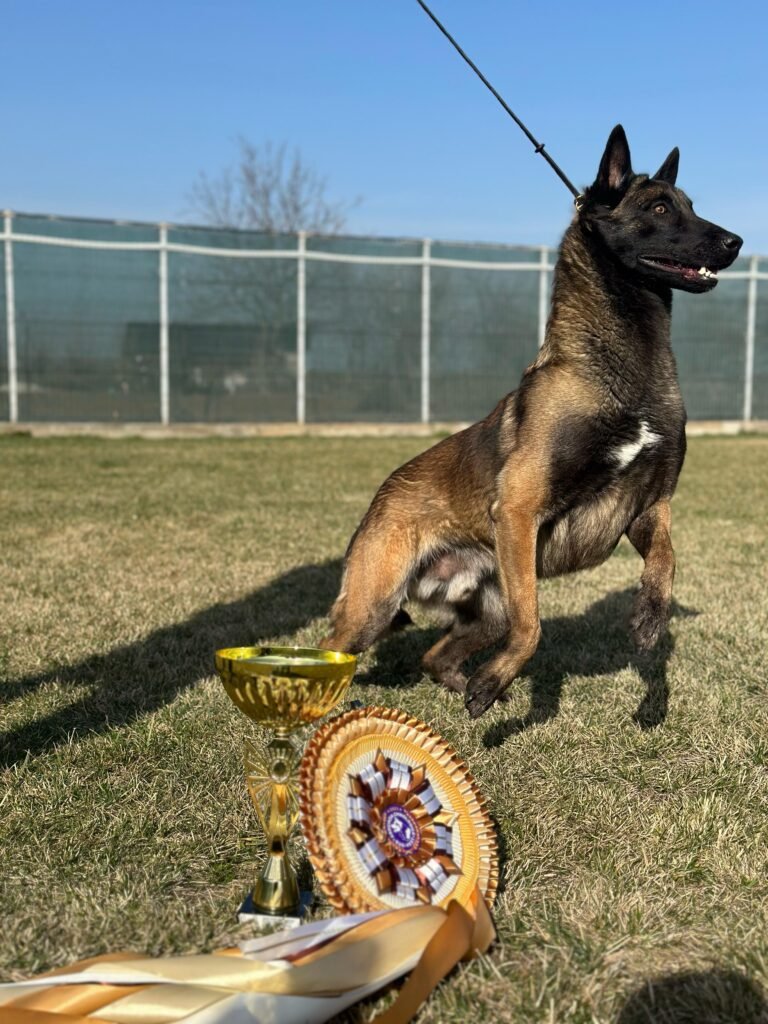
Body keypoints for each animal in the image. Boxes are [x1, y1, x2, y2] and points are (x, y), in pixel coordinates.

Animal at [319, 128, 745, 716]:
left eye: (691, 206)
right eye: (660, 208)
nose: (736, 242)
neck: (615, 373)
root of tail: (380, 497)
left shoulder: (649, 505)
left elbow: (667, 561)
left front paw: (649, 621)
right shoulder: (521, 510)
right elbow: (535, 624)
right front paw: (500, 677)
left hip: (486, 608)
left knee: (433, 656)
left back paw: (467, 686)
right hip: (373, 606)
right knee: (330, 649)